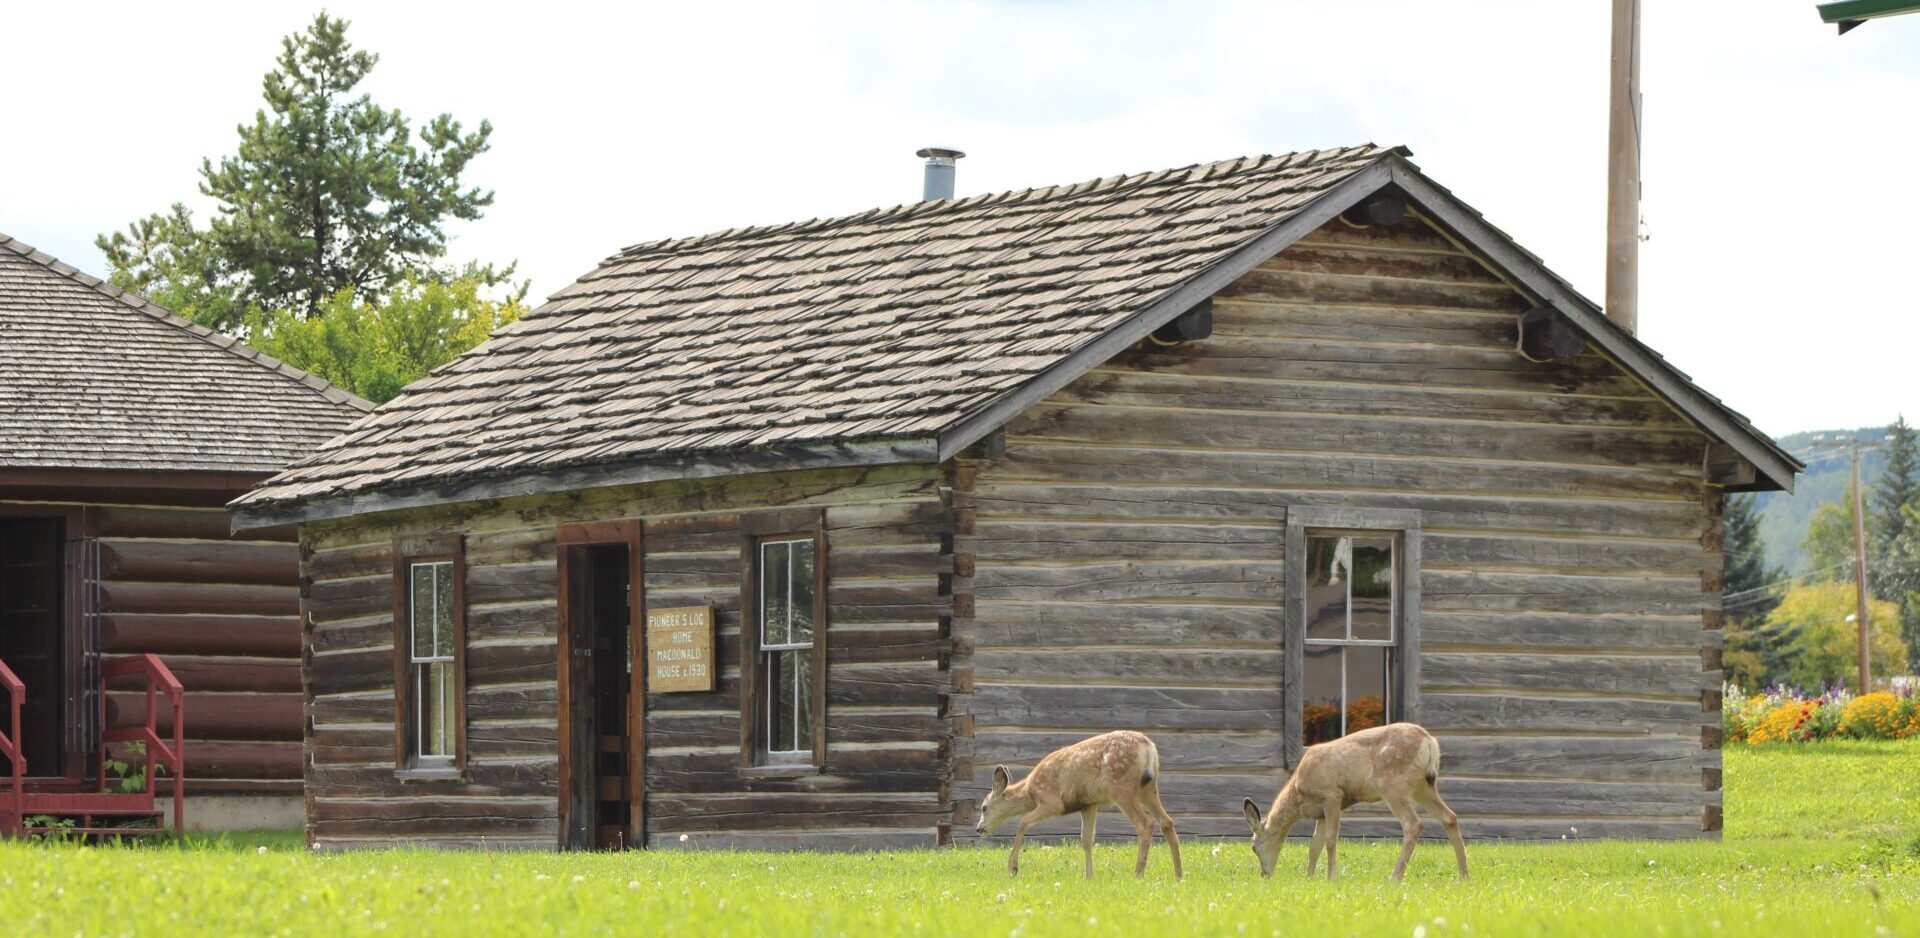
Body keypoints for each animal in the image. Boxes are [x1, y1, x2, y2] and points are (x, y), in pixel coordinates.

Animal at [975, 730, 1183, 880]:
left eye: (984, 807)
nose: (979, 828)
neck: (1030, 791)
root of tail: (1149, 748)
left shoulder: (1052, 802)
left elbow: (1022, 822)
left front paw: (1012, 867)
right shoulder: (1088, 803)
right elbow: (1086, 840)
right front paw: (1089, 876)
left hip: (1121, 787)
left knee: (1145, 823)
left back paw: (1138, 874)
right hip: (1148, 788)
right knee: (1167, 822)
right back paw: (1179, 875)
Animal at [1242, 722, 1467, 882]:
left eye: (1253, 847)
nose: (1264, 875)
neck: (1299, 794)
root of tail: (1430, 742)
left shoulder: (1332, 796)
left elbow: (1330, 839)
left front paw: (1330, 878)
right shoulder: (1320, 812)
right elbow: (1314, 845)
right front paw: (1309, 877)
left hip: (1392, 785)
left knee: (1413, 824)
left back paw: (1394, 877)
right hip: (1423, 787)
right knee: (1450, 817)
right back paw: (1464, 876)